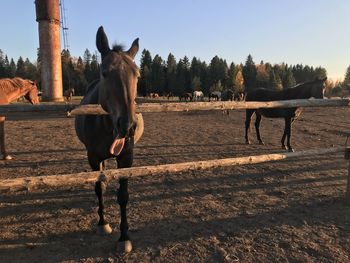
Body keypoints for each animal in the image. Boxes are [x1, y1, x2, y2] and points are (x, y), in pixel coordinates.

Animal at [75, 26, 144, 254]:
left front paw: (124, 237)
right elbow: (98, 189)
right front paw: (103, 223)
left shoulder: (126, 158)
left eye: (137, 74)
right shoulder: (93, 158)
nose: (128, 126)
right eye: (105, 72)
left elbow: (123, 196)